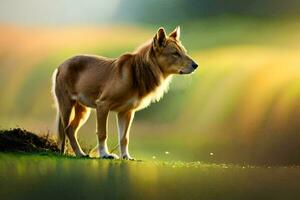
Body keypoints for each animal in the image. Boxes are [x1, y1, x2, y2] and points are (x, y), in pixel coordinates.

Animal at [52, 26, 198, 159]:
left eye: (184, 52)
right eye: (175, 53)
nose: (196, 65)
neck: (137, 72)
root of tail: (60, 66)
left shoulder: (126, 112)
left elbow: (124, 138)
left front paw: (126, 157)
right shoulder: (102, 105)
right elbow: (102, 133)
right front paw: (105, 154)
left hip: (83, 110)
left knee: (71, 129)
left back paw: (79, 153)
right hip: (67, 105)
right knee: (66, 130)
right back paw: (77, 153)